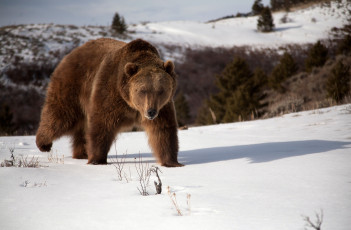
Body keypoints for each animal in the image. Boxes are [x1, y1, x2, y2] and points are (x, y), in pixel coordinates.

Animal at [35, 38, 184, 167]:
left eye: (161, 90)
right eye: (143, 90)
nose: (151, 112)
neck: (130, 103)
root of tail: (72, 53)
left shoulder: (163, 107)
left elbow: (163, 130)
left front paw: (172, 162)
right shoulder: (110, 94)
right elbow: (102, 125)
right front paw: (97, 160)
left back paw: (81, 153)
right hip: (72, 86)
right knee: (61, 115)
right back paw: (43, 144)